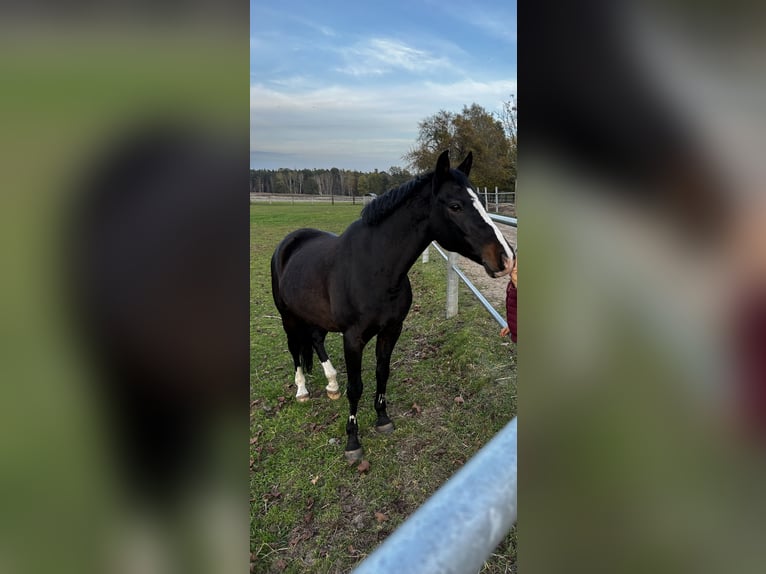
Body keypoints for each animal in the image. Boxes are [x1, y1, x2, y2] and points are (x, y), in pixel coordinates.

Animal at [270, 150, 516, 464]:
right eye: (455, 206)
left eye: (482, 203)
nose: (506, 258)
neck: (375, 267)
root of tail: (289, 242)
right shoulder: (353, 338)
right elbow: (356, 387)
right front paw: (353, 442)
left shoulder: (391, 330)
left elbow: (382, 373)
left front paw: (383, 419)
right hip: (288, 317)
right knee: (294, 349)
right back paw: (302, 390)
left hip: (315, 316)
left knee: (315, 340)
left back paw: (331, 385)